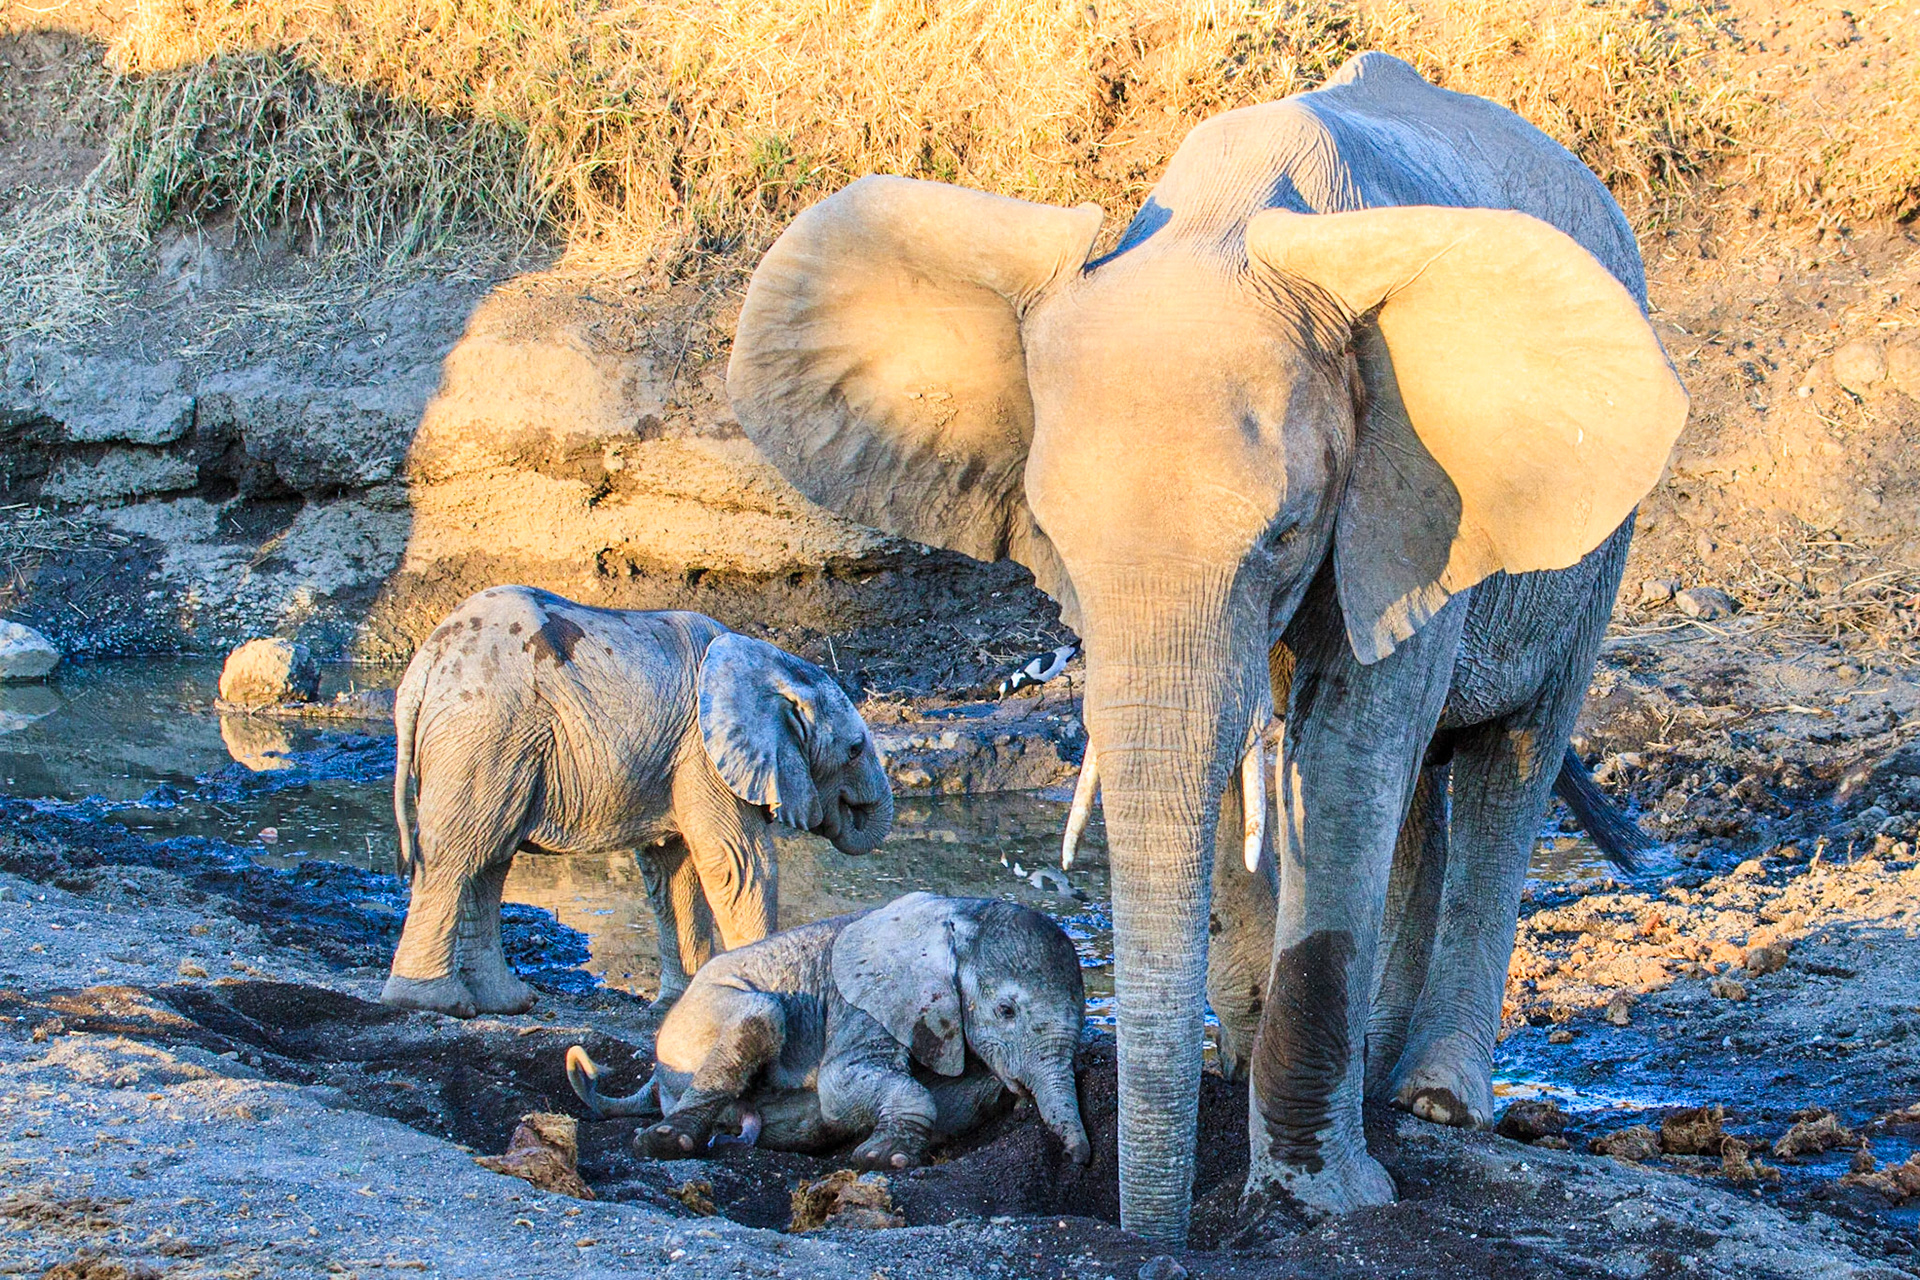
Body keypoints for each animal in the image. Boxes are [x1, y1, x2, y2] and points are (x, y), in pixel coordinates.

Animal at [382, 585, 894, 1019]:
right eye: (854, 750)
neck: (773, 662)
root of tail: (425, 664)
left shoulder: (679, 758)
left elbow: (676, 870)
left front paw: (679, 1008)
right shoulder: (700, 753)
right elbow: (738, 863)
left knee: (488, 859)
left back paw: (505, 1004)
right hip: (487, 730)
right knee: (456, 855)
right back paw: (434, 1003)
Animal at [564, 891, 1092, 1169]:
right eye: (1005, 1010)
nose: (1078, 1158)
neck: (960, 912)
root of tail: (653, 1075)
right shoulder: (865, 1007)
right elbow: (839, 1089)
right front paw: (880, 1159)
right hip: (695, 1026)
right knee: (762, 1016)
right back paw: (664, 1142)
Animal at [724, 52, 1688, 1241]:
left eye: (1285, 533)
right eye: (1054, 541)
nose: (1149, 1234)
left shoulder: (1404, 491)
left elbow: (1346, 761)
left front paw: (1325, 1200)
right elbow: (1248, 776)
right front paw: (1242, 1074)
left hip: (1595, 540)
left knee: (1512, 758)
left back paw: (1435, 1099)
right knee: (1423, 787)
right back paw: (1377, 1082)